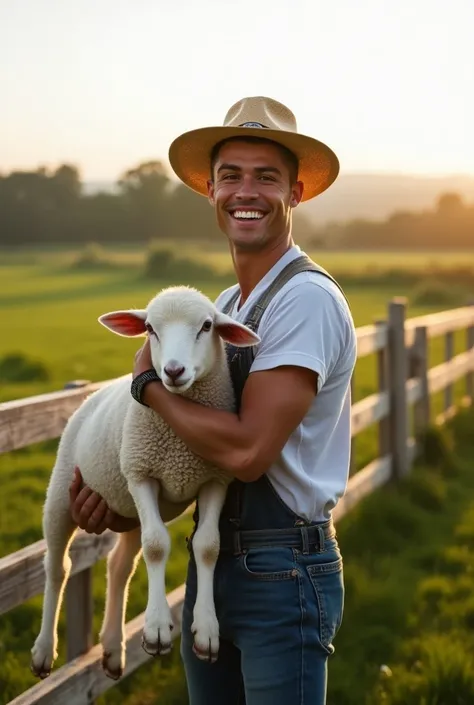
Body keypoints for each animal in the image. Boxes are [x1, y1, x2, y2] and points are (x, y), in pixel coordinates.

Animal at [29, 284, 260, 680]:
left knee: (118, 565)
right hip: (61, 495)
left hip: (129, 510)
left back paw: (112, 649)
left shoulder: (215, 479)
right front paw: (155, 628)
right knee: (58, 567)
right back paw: (44, 651)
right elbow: (156, 546)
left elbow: (208, 546)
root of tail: (89, 397)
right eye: (150, 328)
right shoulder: (139, 473)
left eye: (207, 326)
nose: (173, 370)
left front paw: (207, 629)